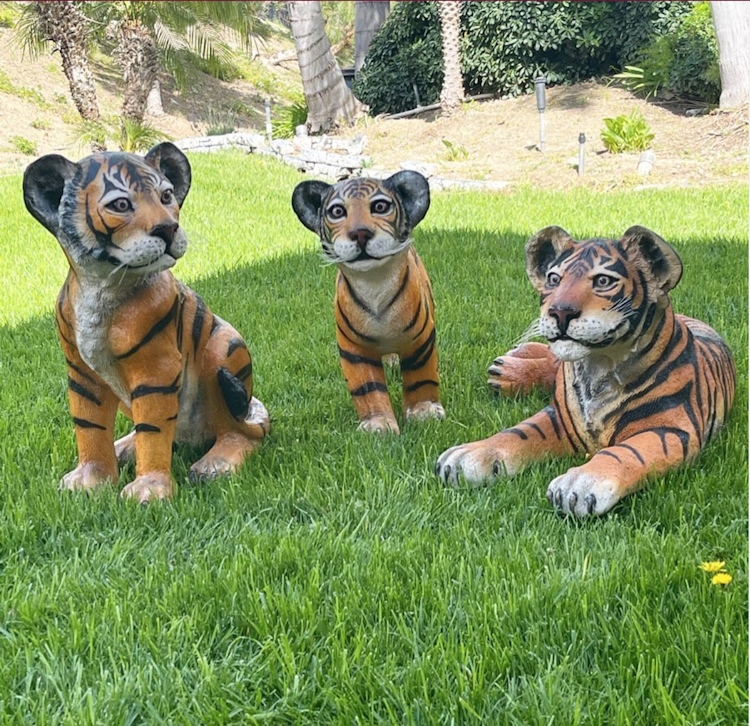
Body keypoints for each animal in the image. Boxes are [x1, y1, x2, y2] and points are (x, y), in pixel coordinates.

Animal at [23, 142, 269, 503]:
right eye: (121, 205)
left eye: (166, 197)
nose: (168, 228)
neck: (102, 287)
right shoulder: (82, 372)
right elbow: (89, 425)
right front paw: (90, 479)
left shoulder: (156, 370)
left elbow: (152, 430)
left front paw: (149, 490)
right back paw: (124, 447)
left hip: (223, 348)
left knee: (241, 431)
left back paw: (216, 464)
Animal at [292, 172, 444, 434]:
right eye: (337, 211)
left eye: (380, 207)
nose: (360, 233)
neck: (375, 287)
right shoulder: (354, 348)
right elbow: (367, 388)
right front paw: (378, 424)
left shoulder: (421, 340)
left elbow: (421, 377)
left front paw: (424, 413)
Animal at [436, 225, 735, 517]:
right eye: (554, 279)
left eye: (603, 281)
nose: (560, 311)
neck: (596, 367)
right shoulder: (561, 418)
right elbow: (519, 432)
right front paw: (469, 456)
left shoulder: (672, 430)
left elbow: (626, 452)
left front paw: (581, 482)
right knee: (552, 359)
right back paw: (512, 365)